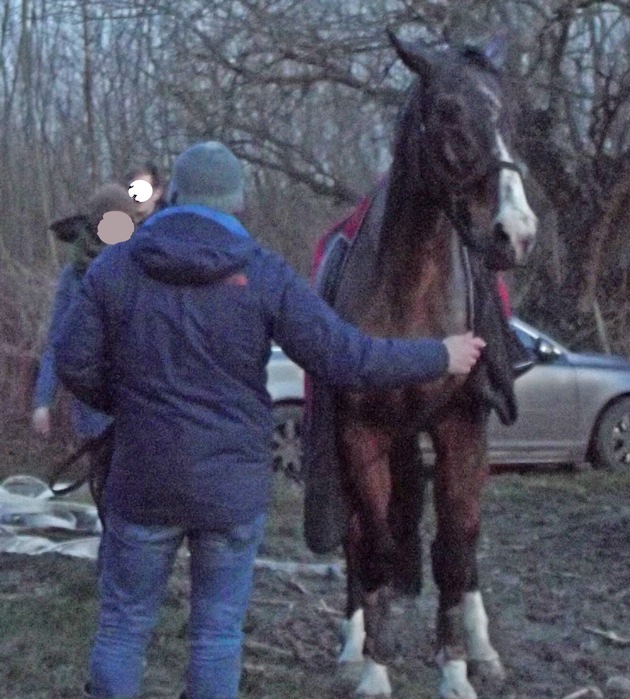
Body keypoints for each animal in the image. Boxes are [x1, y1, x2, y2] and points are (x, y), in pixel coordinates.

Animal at [304, 31, 540, 699]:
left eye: (513, 118)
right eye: (450, 114)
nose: (517, 233)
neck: (412, 294)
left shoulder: (463, 427)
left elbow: (455, 551)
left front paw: (456, 668)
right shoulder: (361, 433)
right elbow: (377, 546)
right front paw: (373, 669)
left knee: (466, 544)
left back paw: (482, 647)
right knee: (361, 540)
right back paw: (355, 642)